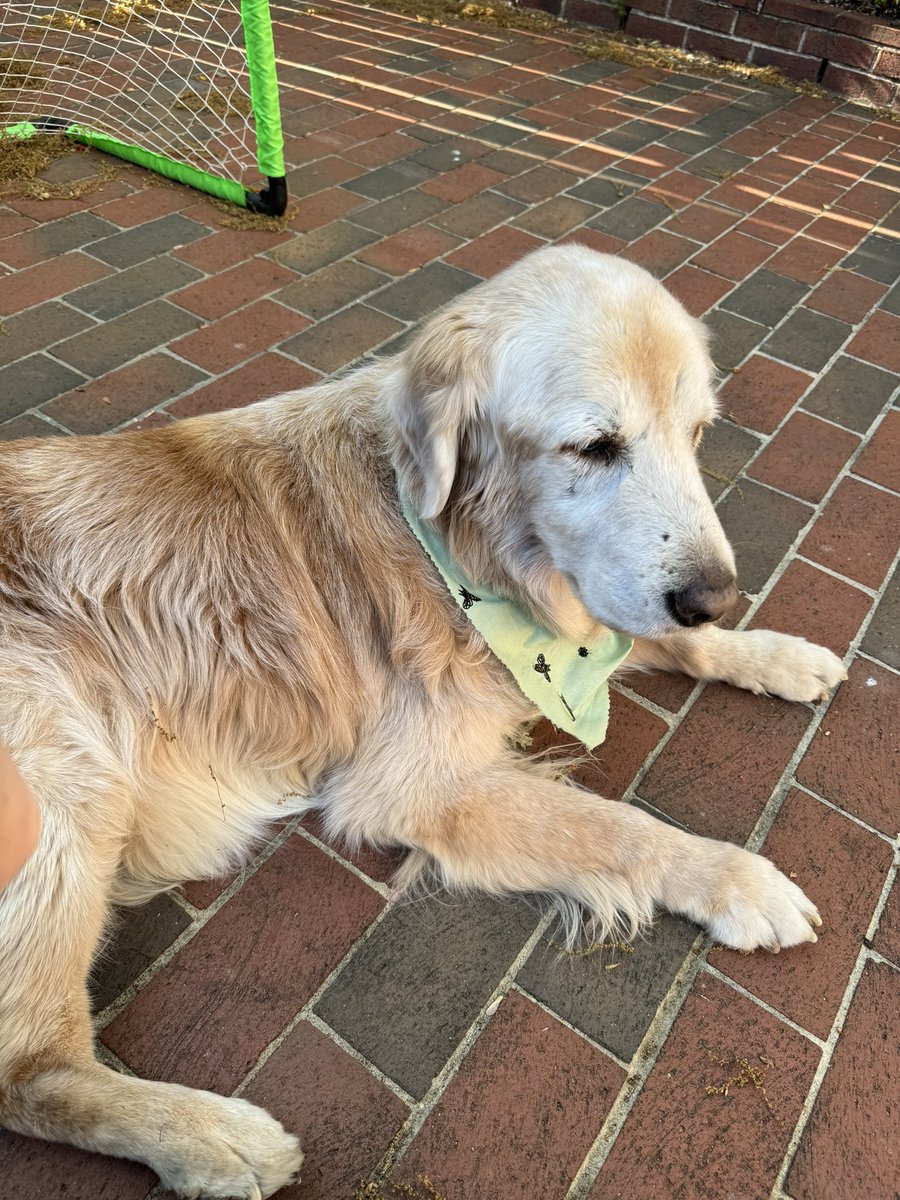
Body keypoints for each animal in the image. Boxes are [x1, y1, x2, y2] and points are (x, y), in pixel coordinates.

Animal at [0, 246, 844, 1200]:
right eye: (595, 446)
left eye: (697, 432)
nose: (714, 594)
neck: (466, 550)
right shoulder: (412, 785)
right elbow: (616, 827)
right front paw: (738, 880)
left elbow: (676, 646)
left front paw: (774, 654)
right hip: (66, 782)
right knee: (28, 1071)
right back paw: (216, 1140)